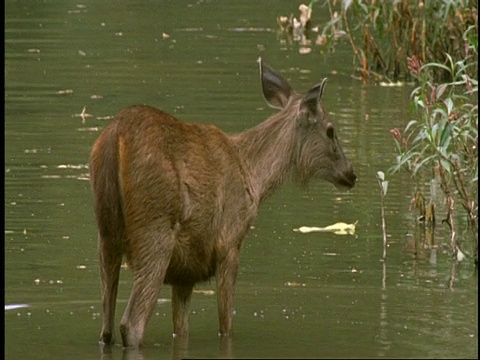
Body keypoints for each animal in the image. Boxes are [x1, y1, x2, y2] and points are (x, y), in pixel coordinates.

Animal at [88, 57, 354, 348]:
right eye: (331, 130)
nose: (351, 174)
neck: (253, 176)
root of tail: (116, 136)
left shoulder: (185, 273)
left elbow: (182, 329)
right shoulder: (229, 242)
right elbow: (226, 324)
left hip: (106, 234)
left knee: (106, 328)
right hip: (155, 228)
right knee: (131, 323)